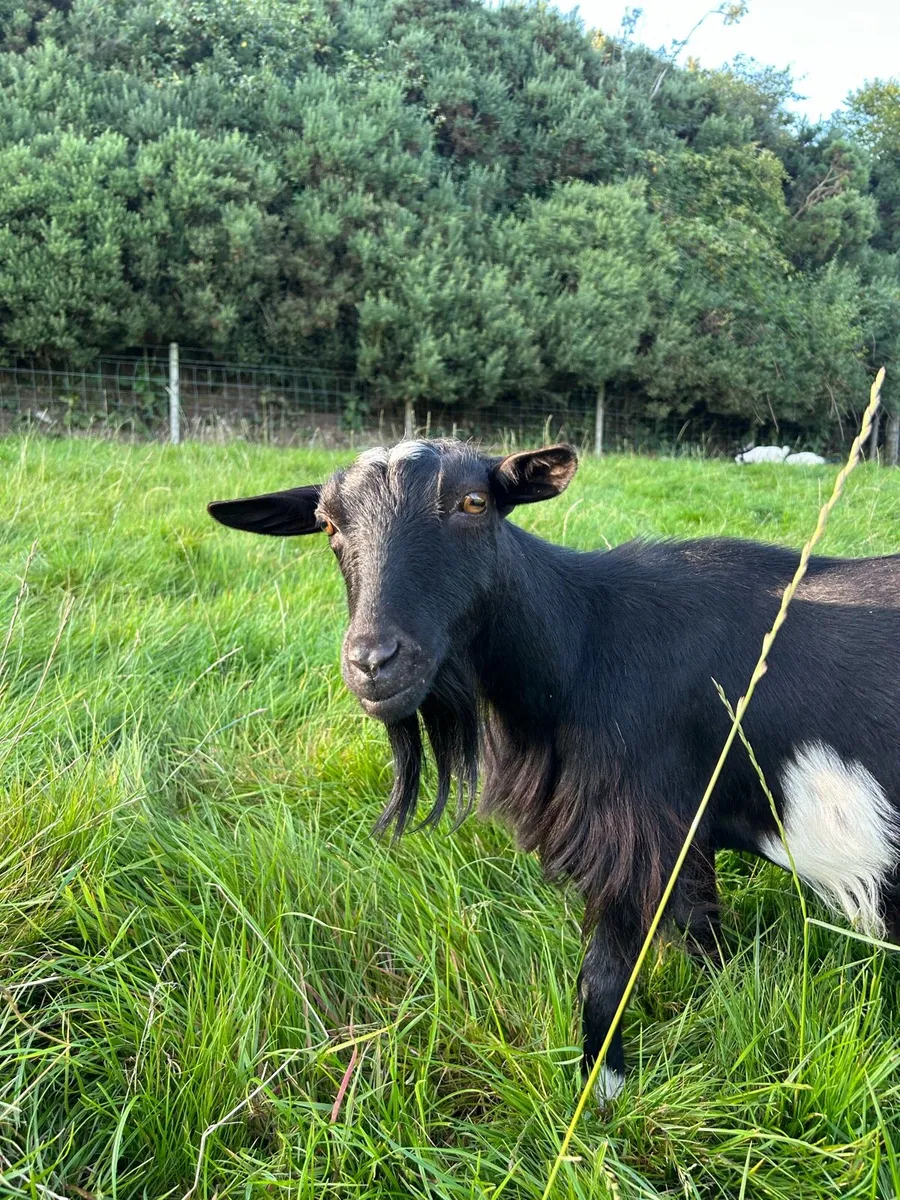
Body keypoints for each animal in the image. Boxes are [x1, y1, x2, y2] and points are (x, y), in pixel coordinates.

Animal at [209, 439, 900, 1103]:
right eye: (327, 523)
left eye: (475, 503)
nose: (373, 662)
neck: (584, 641)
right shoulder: (681, 827)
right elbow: (700, 926)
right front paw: (726, 1001)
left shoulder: (633, 829)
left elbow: (606, 974)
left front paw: (603, 1092)